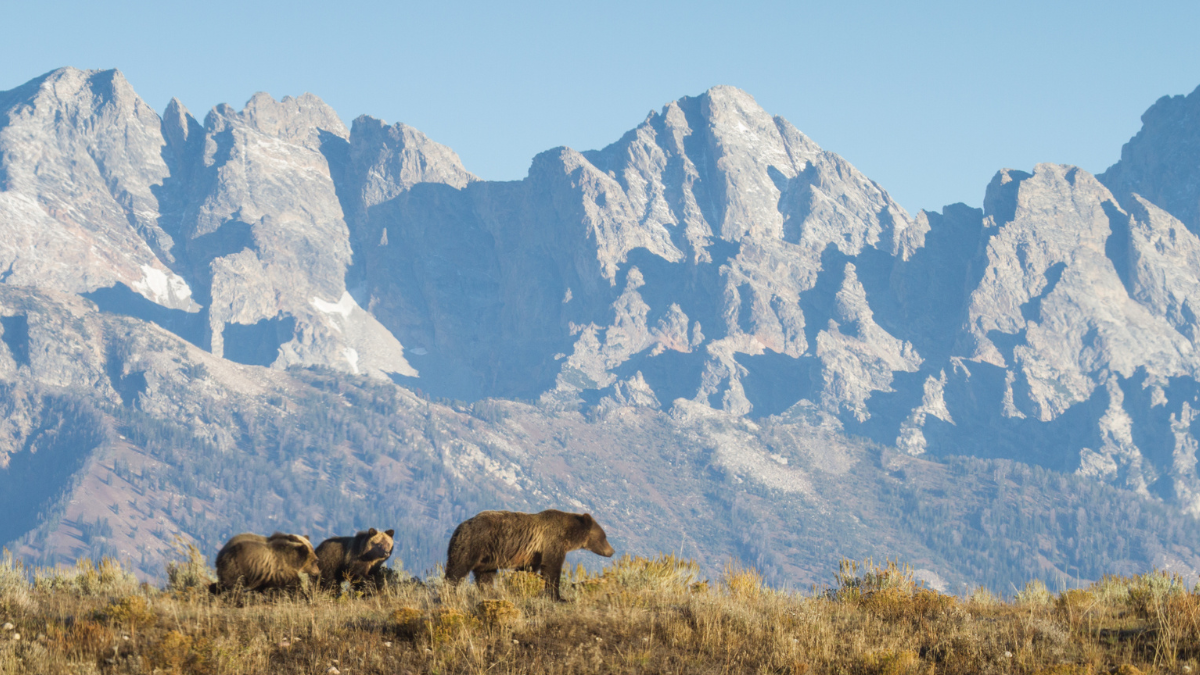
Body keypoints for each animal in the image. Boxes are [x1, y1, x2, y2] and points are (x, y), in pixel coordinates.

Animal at [444, 509, 615, 601]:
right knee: (457, 568)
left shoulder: (533, 554)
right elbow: (552, 569)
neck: (568, 535)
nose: (612, 551)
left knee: (485, 576)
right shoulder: (552, 542)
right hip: (474, 543)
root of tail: (459, 527)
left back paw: (489, 593)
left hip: (488, 558)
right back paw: (449, 592)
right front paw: (558, 597)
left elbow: (527, 570)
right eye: (604, 536)